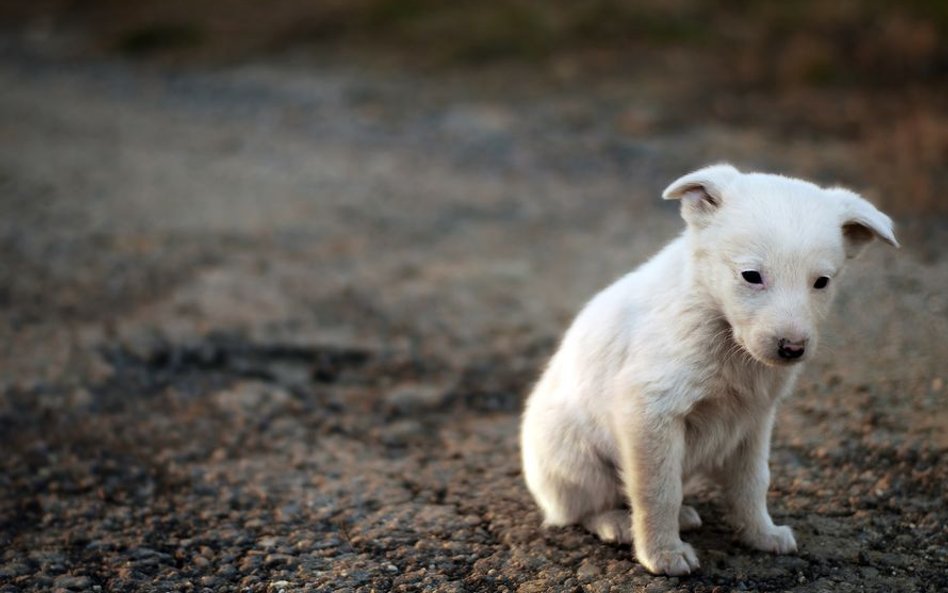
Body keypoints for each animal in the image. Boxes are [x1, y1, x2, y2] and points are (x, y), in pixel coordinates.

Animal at [520, 162, 896, 572]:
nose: (792, 349)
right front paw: (663, 554)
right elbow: (658, 491)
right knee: (583, 509)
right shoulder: (651, 412)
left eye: (822, 282)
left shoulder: (754, 420)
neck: (721, 327)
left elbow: (752, 483)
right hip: (576, 458)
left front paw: (761, 534)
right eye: (751, 276)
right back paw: (616, 523)